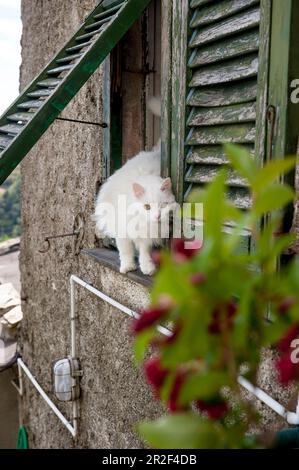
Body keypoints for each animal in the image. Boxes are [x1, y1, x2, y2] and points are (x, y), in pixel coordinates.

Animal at [95, 99, 177, 276]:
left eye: (163, 206)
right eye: (147, 207)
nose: (157, 216)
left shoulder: (146, 235)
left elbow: (145, 251)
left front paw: (147, 268)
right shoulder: (122, 229)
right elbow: (125, 251)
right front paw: (127, 267)